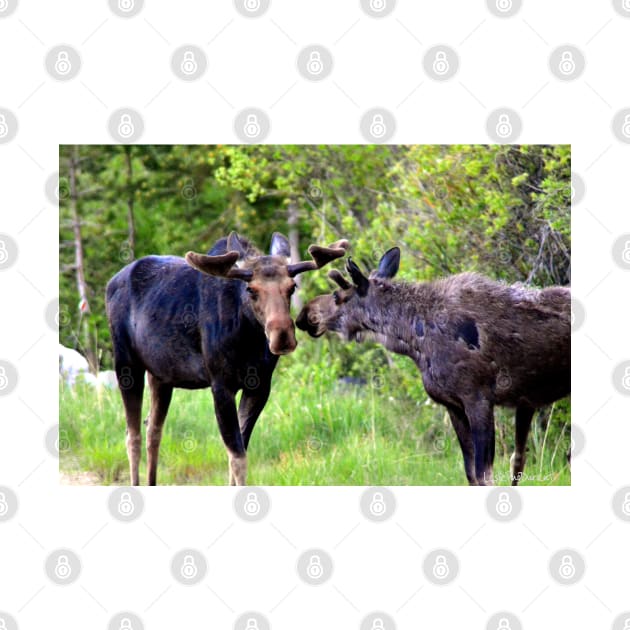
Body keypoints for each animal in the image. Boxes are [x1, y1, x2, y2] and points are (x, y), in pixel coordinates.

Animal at [105, 230, 348, 486]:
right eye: (251, 290)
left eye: (292, 287)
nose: (282, 337)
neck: (248, 339)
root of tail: (110, 283)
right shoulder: (221, 385)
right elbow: (237, 457)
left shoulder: (260, 387)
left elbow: (241, 448)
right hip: (126, 364)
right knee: (132, 435)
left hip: (161, 376)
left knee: (153, 428)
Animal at [296, 248, 572, 488]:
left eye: (337, 296)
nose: (303, 316)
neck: (415, 341)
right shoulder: (453, 405)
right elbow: (471, 473)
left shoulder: (478, 398)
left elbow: (485, 475)